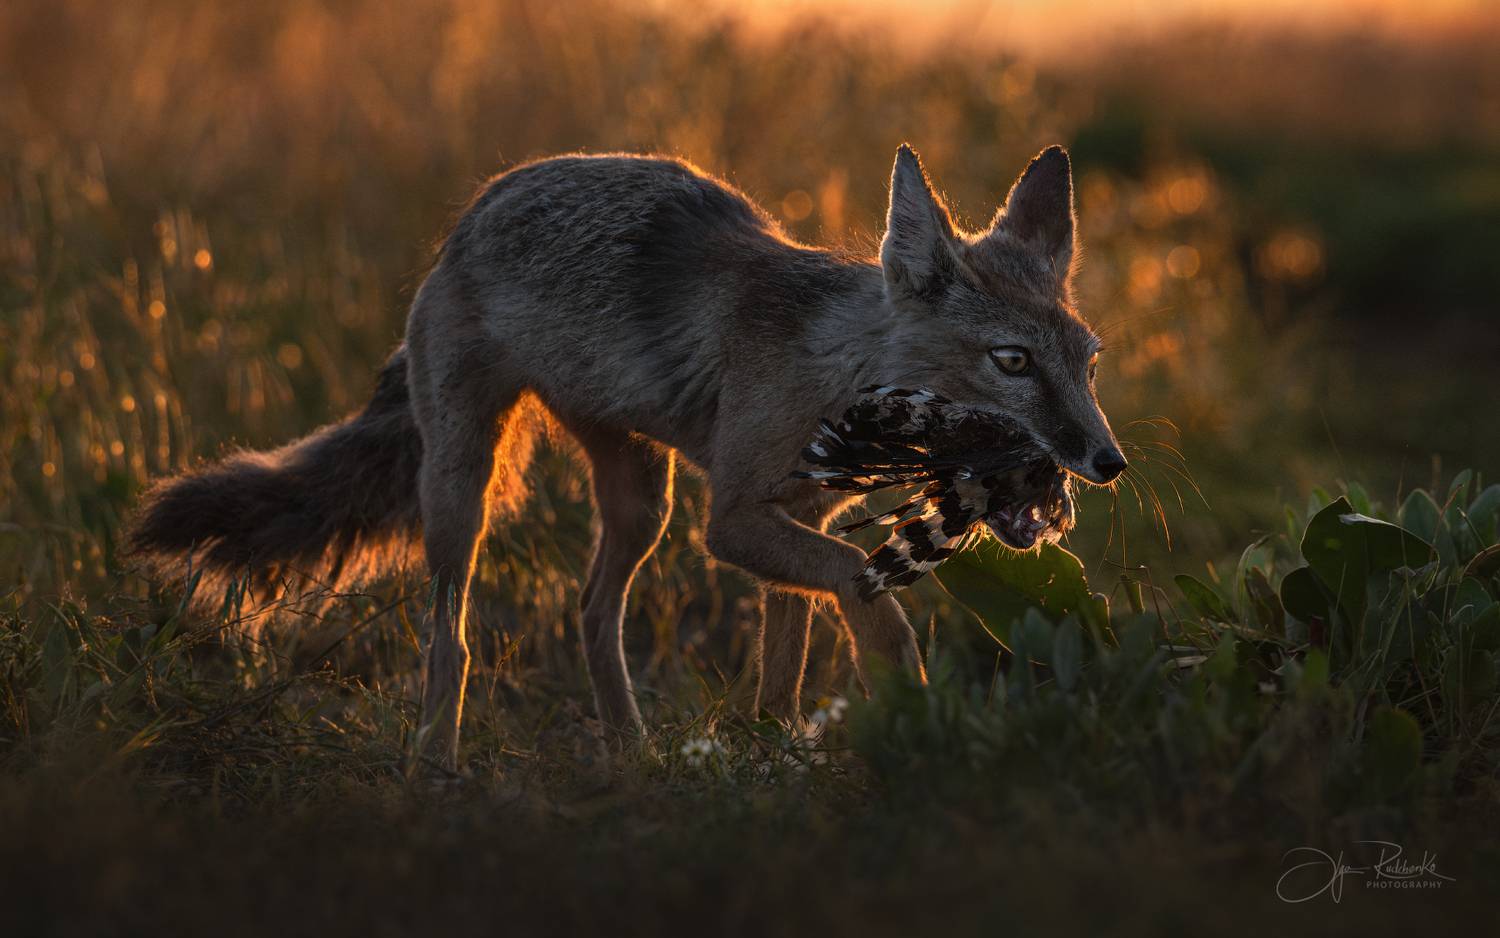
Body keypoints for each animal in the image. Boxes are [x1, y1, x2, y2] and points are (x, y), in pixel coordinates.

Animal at [126, 143, 1126, 772]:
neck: (831, 368)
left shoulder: (793, 518)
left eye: (1087, 361)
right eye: (1012, 362)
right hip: (463, 496)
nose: (1106, 461)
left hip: (643, 500)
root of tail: (471, 215)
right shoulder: (734, 525)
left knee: (588, 611)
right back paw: (435, 765)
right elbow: (863, 589)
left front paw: (772, 752)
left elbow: (789, 655)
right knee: (449, 640)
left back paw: (631, 753)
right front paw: (902, 691)